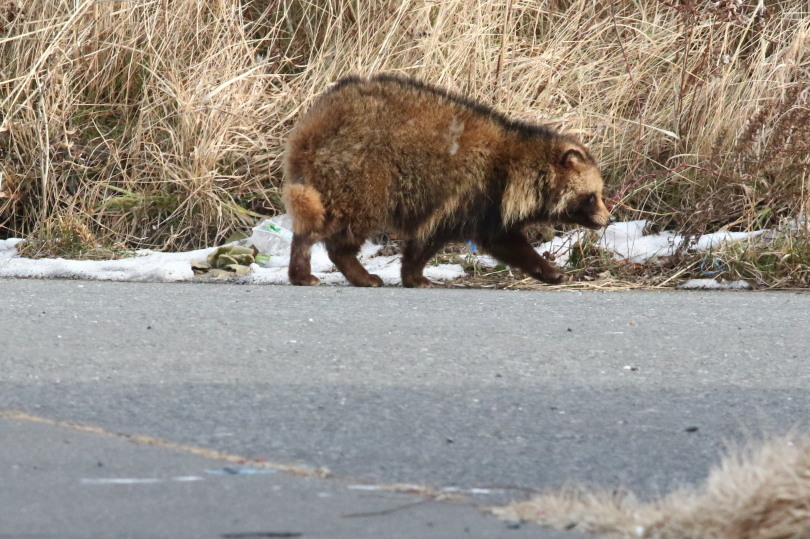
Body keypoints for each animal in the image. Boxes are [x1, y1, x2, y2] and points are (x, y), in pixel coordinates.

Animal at [282, 75, 608, 292]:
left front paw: (546, 270)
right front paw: (415, 275)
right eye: (592, 196)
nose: (606, 219)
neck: (517, 164)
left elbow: (502, 240)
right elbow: (431, 236)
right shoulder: (469, 191)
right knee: (342, 223)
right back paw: (328, 267)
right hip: (361, 173)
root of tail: (313, 124)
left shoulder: (487, 206)